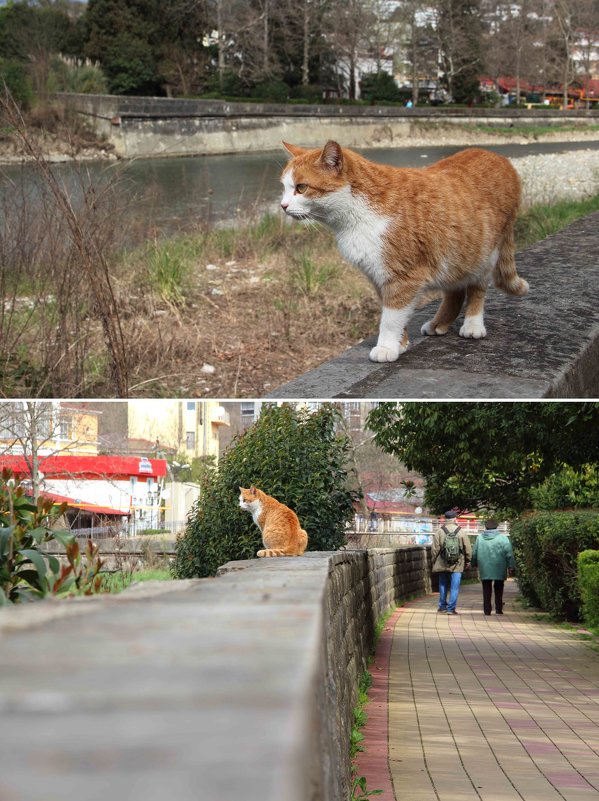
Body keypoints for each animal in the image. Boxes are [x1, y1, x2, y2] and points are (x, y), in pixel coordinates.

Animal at [278, 140, 528, 360]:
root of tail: (498, 157)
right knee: (455, 292)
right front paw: (401, 343)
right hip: (452, 258)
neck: (356, 215)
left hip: (482, 255)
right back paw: (439, 323)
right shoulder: (378, 276)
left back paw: (473, 324)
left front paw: (386, 347)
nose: (283, 206)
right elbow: (396, 315)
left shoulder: (402, 276)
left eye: (301, 188)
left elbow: (390, 318)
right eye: (284, 189)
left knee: (476, 289)